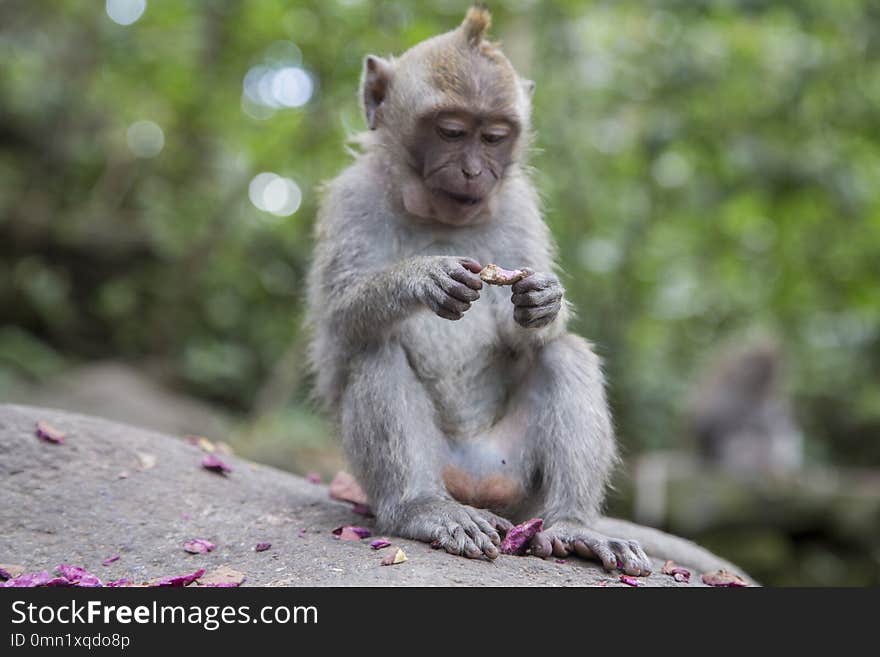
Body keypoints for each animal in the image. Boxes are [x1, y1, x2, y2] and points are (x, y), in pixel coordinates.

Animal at [306, 7, 672, 576]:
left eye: (495, 137)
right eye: (452, 132)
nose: (474, 170)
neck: (438, 218)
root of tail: (477, 483)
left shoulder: (520, 207)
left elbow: (530, 336)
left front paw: (543, 302)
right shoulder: (351, 197)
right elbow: (340, 325)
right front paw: (420, 278)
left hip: (518, 477)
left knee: (565, 354)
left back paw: (575, 526)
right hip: (426, 472)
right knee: (375, 351)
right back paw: (423, 509)